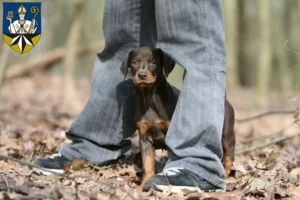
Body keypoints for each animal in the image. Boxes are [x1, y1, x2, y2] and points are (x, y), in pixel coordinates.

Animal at [120, 46, 236, 186]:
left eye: (153, 63)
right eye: (134, 62)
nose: (142, 75)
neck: (149, 98)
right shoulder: (145, 138)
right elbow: (147, 164)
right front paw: (144, 184)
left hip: (226, 133)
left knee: (229, 153)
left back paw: (226, 174)